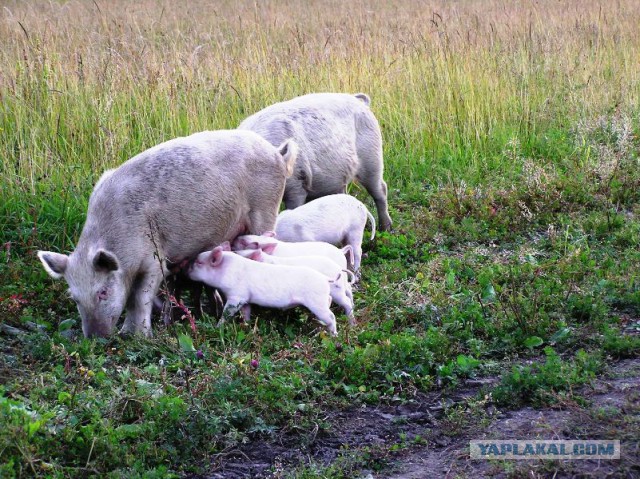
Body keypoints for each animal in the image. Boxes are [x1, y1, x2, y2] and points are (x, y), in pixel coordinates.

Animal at [38, 129, 298, 336]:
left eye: (102, 292)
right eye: (75, 298)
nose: (95, 338)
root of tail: (277, 153)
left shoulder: (154, 258)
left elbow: (138, 298)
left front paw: (138, 336)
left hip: (265, 210)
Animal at [189, 246, 340, 336]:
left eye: (199, 263)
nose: (186, 270)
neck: (227, 270)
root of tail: (325, 278)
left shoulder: (236, 296)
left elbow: (227, 313)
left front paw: (217, 327)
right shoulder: (246, 299)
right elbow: (246, 312)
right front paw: (246, 325)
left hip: (316, 302)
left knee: (332, 316)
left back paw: (333, 335)